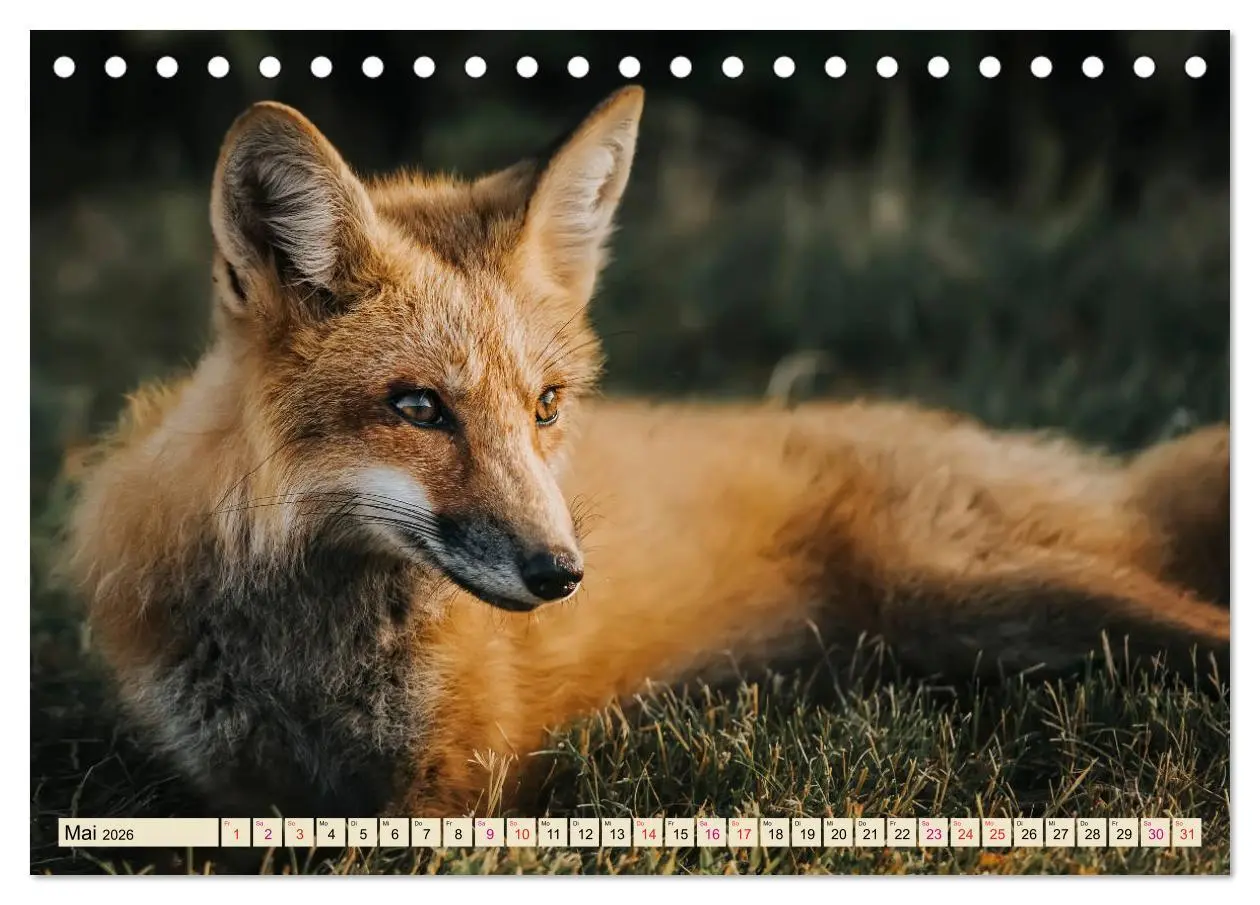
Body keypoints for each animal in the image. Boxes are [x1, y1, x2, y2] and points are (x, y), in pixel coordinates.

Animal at [64, 86, 1230, 819]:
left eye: (545, 405)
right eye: (419, 406)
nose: (562, 572)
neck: (310, 655)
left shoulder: (458, 786)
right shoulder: (232, 791)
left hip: (991, 592)